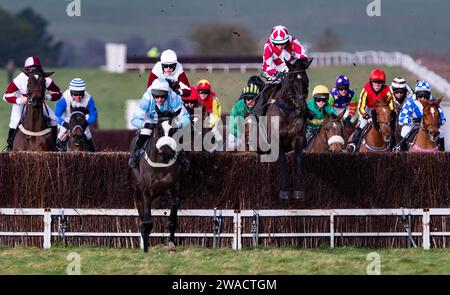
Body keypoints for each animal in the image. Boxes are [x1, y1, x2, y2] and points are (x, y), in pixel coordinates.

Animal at [131, 107, 184, 253]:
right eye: (159, 129)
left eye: (173, 130)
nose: (166, 151)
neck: (160, 164)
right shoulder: (146, 192)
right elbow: (147, 222)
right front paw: (146, 246)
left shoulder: (174, 190)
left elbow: (172, 220)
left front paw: (171, 245)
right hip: (137, 193)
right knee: (141, 218)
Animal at [264, 57, 312, 201]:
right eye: (291, 79)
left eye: (305, 79)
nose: (302, 106)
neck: (287, 112)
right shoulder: (276, 139)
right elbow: (282, 160)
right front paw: (284, 190)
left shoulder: (298, 138)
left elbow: (297, 159)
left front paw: (298, 190)